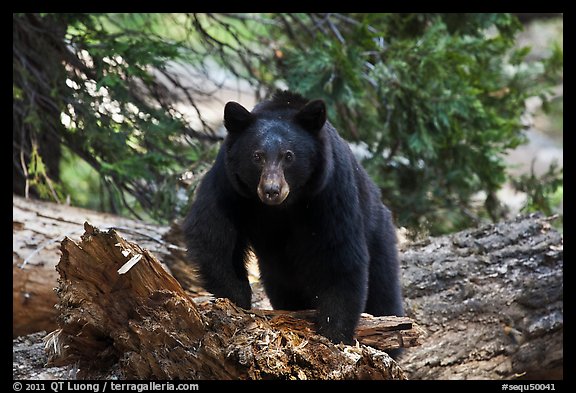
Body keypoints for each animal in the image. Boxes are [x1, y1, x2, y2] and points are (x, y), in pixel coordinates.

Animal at [182, 91, 402, 346]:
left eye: (289, 156)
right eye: (257, 156)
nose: (271, 190)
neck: (283, 208)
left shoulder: (331, 191)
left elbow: (341, 256)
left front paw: (333, 332)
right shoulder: (229, 183)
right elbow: (213, 234)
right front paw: (238, 299)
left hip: (379, 237)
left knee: (383, 293)